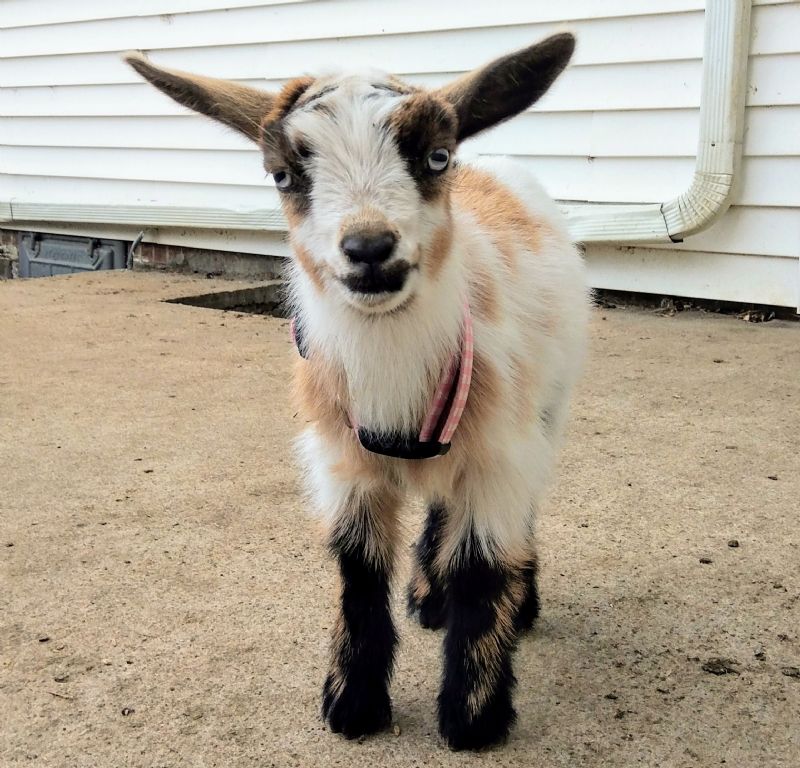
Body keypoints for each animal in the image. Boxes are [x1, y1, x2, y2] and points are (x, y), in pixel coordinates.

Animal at [128, 34, 592, 752]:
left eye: (436, 156)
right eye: (282, 175)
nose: (369, 248)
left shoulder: (497, 456)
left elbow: (483, 566)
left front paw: (474, 716)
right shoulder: (344, 463)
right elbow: (359, 571)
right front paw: (353, 703)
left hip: (546, 408)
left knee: (522, 510)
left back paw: (518, 603)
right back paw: (428, 597)